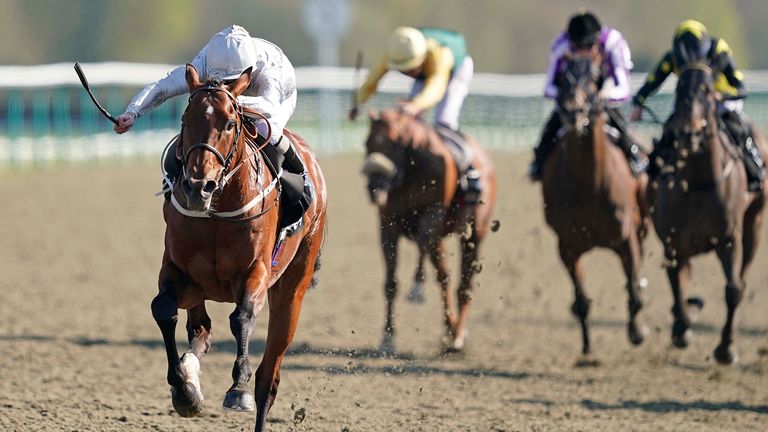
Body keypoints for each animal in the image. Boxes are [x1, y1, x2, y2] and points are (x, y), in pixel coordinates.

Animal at [152, 63, 328, 428]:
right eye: (186, 120)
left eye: (231, 123)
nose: (198, 186)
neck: (217, 215)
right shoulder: (181, 274)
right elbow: (163, 310)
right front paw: (184, 390)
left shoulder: (255, 272)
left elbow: (242, 317)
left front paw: (237, 388)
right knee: (201, 330)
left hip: (293, 287)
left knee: (269, 378)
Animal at [362, 109, 498, 352]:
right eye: (367, 143)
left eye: (394, 143)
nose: (374, 187)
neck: (412, 167)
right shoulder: (387, 227)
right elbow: (390, 284)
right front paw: (388, 337)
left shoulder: (433, 214)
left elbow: (434, 258)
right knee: (442, 273)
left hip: (475, 231)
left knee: (463, 282)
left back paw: (457, 333)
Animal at [540, 54, 648, 358]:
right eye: (562, 76)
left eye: (596, 76)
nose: (572, 110)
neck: (588, 183)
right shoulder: (568, 246)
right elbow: (581, 300)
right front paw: (588, 348)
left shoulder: (626, 237)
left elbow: (634, 292)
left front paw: (637, 331)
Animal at [648, 62, 768, 362]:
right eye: (679, 88)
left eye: (707, 89)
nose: (688, 133)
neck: (698, 183)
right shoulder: (673, 242)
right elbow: (676, 284)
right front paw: (682, 328)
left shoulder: (728, 240)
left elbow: (733, 290)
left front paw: (726, 347)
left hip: (754, 225)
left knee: (742, 278)